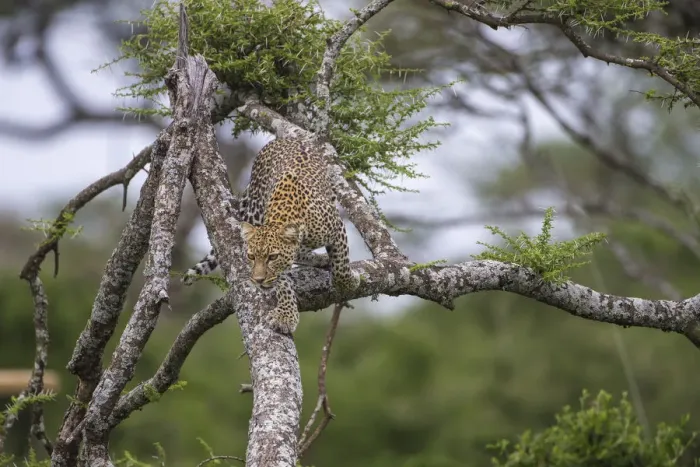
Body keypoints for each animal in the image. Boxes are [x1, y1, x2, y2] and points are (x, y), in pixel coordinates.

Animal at [182, 137, 357, 334]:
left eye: (272, 257)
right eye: (251, 256)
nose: (258, 280)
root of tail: (281, 139)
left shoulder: (336, 227)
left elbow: (341, 267)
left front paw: (349, 283)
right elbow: (283, 283)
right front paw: (286, 316)